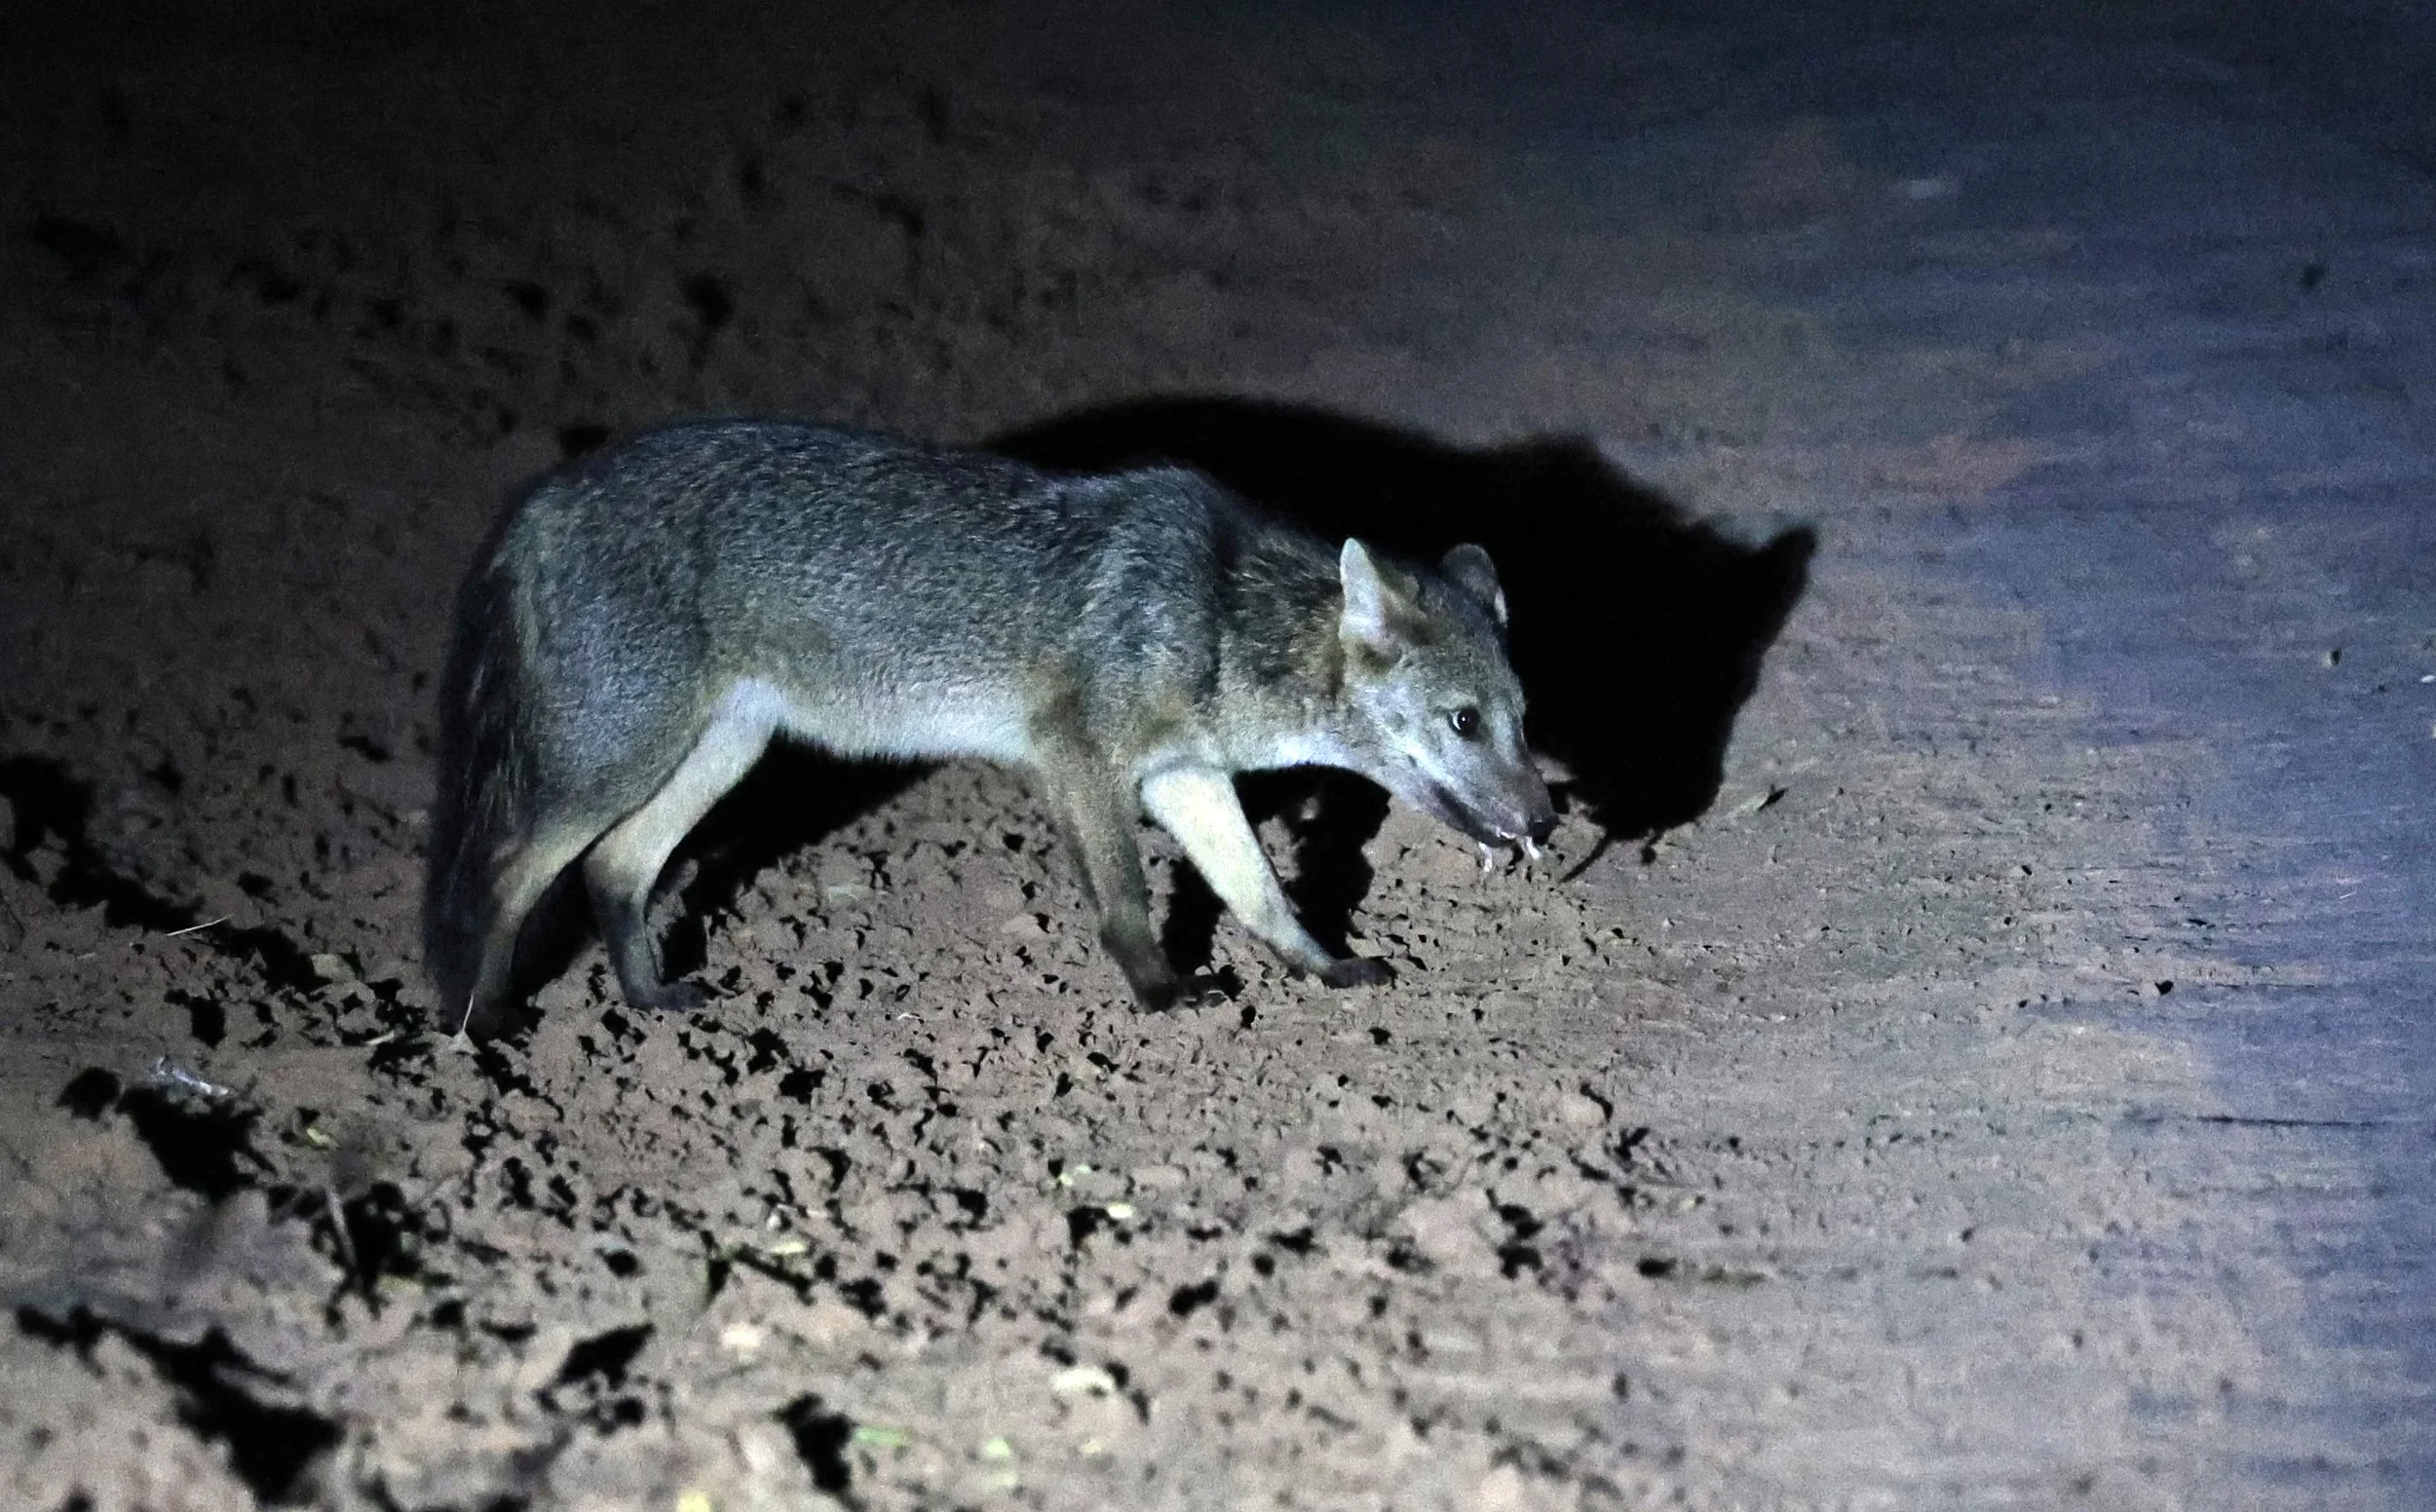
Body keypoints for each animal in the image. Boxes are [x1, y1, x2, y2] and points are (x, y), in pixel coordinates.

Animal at [424, 420, 1555, 1036]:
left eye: (1522, 721)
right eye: (1463, 721)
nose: (1547, 822)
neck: (1217, 609)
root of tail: (543, 496)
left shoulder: (1185, 778)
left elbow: (1262, 892)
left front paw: (1326, 969)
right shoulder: (1083, 763)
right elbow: (1128, 903)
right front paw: (1160, 994)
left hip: (718, 755)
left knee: (614, 868)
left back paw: (649, 1001)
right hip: (613, 762)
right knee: (507, 871)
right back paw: (479, 1023)